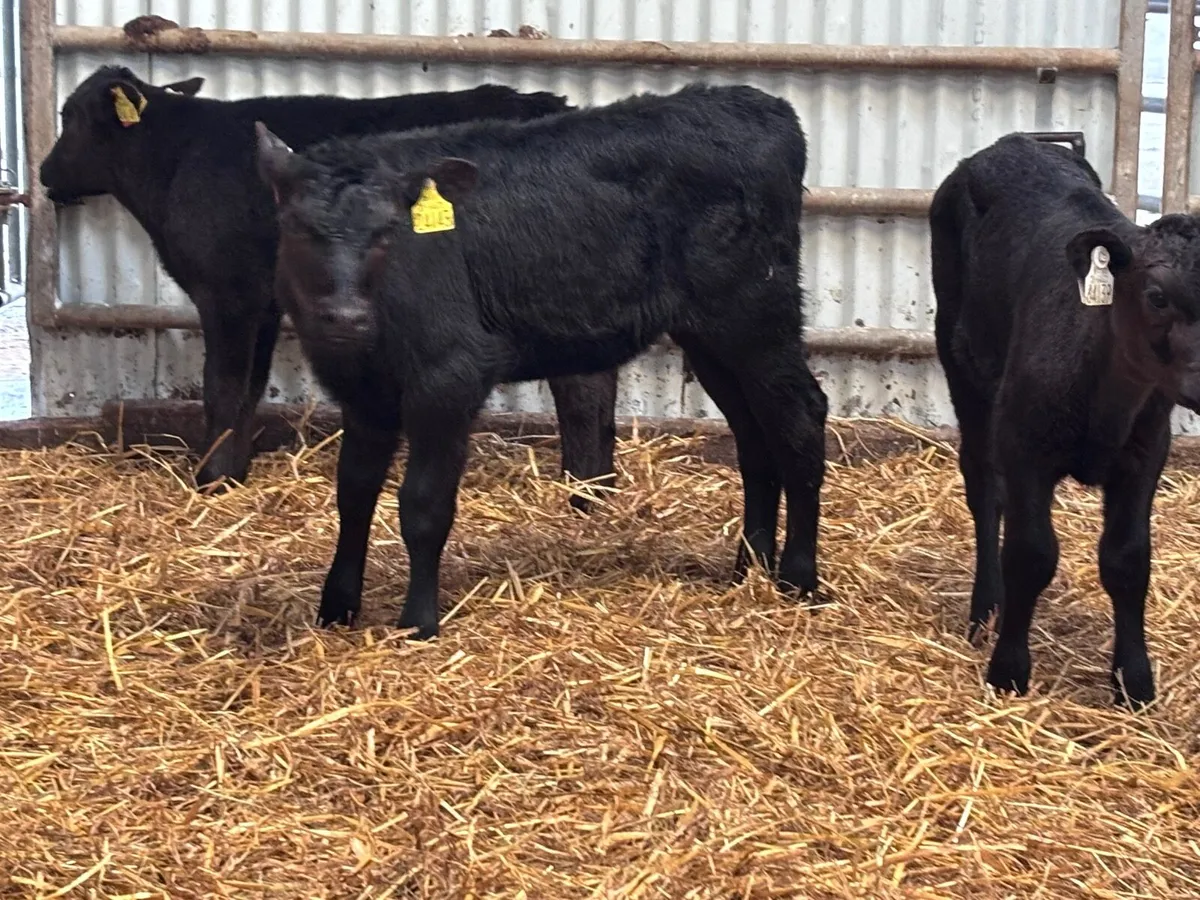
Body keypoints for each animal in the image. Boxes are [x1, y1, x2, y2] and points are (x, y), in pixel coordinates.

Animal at [38, 65, 618, 506]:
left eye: (70, 116)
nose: (44, 174)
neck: (176, 161)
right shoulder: (263, 302)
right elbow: (249, 388)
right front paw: (234, 470)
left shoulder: (227, 294)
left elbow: (221, 385)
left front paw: (210, 478)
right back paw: (600, 484)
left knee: (582, 385)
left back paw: (583, 490)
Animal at [255, 82, 829, 638]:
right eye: (296, 227)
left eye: (388, 232)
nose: (345, 316)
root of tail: (757, 103)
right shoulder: (363, 393)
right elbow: (353, 492)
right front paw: (336, 608)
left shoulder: (449, 376)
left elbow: (423, 503)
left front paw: (418, 622)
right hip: (712, 337)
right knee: (754, 437)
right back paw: (748, 570)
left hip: (757, 314)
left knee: (800, 418)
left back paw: (798, 579)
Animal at [931, 132, 1200, 708]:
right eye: (1157, 296)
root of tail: (1012, 143)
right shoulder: (1024, 446)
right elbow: (1031, 554)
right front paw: (1008, 669)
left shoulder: (1146, 453)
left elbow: (1128, 560)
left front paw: (1133, 681)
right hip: (963, 368)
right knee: (983, 488)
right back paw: (986, 607)